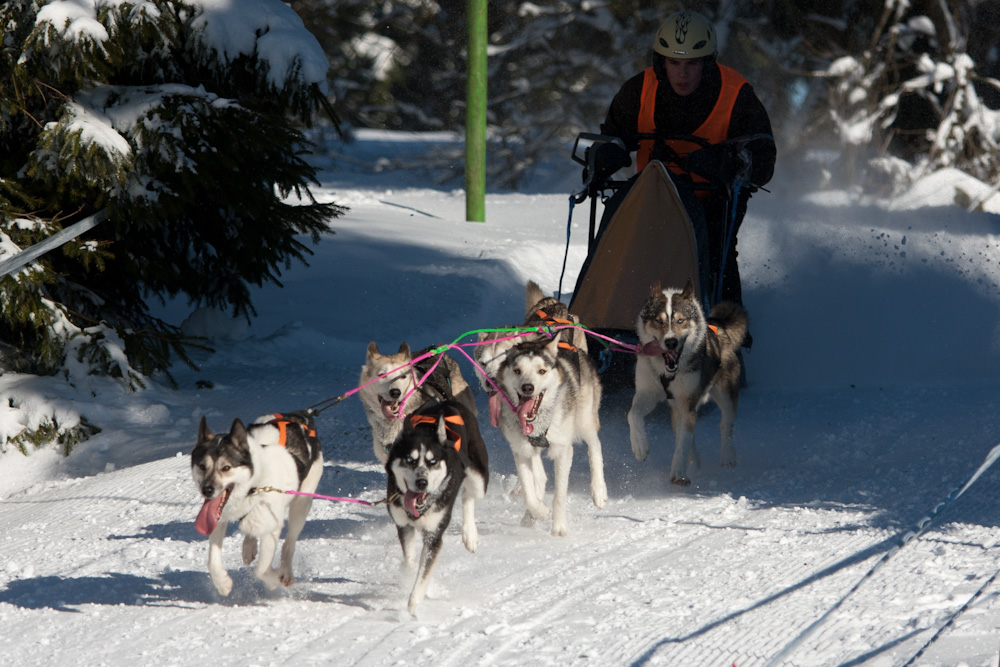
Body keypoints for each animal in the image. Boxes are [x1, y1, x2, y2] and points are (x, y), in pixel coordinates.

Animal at [189, 412, 322, 596]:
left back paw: (285, 572)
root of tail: (303, 415)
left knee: (289, 543)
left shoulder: (272, 527)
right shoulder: (218, 518)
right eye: (202, 466)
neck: (254, 484)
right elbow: (212, 561)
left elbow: (261, 569)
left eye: (226, 467)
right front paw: (223, 583)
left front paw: (272, 582)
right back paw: (248, 547)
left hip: (301, 505)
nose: (207, 490)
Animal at [386, 402, 488, 616]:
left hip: (479, 478)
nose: (422, 482)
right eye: (410, 460)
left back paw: (470, 534)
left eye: (432, 462)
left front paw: (413, 604)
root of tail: (447, 402)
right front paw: (411, 573)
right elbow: (410, 563)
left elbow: (423, 574)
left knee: (467, 495)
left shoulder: (434, 536)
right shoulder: (403, 526)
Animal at [494, 334, 604, 536]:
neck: (537, 422)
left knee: (595, 446)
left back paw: (599, 491)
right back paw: (529, 515)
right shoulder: (521, 451)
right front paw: (539, 511)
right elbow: (529, 492)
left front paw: (559, 527)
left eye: (542, 371)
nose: (527, 387)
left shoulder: (563, 451)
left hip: (584, 420)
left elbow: (559, 495)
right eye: (517, 370)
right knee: (539, 477)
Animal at [628, 280, 748, 488]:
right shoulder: (647, 393)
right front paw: (640, 446)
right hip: (677, 408)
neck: (667, 371)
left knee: (726, 425)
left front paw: (678, 474)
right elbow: (633, 415)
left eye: (680, 320)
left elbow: (683, 443)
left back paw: (728, 456)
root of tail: (719, 327)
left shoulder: (688, 400)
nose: (671, 342)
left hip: (725, 394)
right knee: (682, 429)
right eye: (659, 321)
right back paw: (695, 463)